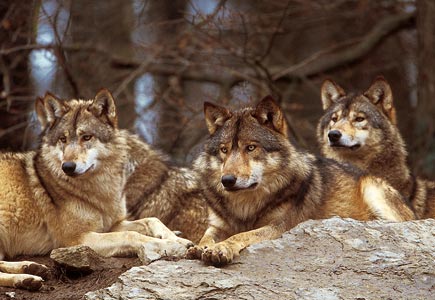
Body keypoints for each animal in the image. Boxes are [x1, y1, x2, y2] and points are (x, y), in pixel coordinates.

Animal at [0, 89, 193, 290]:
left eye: (87, 137)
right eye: (63, 139)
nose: (67, 167)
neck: (99, 190)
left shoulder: (113, 224)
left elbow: (151, 220)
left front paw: (178, 239)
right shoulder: (76, 240)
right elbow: (131, 235)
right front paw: (172, 246)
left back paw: (30, 269)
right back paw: (25, 279)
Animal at [186, 95, 416, 266]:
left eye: (250, 147)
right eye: (224, 150)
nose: (227, 180)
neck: (245, 207)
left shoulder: (279, 227)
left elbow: (241, 236)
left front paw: (221, 248)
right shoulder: (217, 225)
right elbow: (205, 237)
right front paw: (200, 247)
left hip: (373, 189)